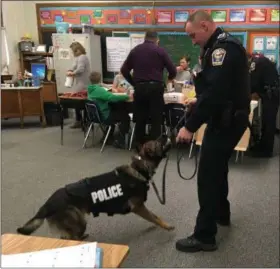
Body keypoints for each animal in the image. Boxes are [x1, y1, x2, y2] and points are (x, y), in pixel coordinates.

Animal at [16, 137, 174, 240]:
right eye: (158, 142)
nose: (165, 134)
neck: (139, 169)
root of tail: (47, 205)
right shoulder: (139, 207)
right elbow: (154, 217)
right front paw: (165, 226)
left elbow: (154, 216)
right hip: (79, 222)